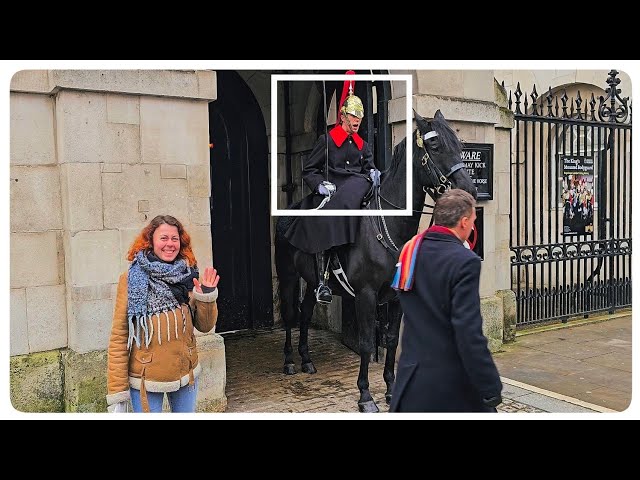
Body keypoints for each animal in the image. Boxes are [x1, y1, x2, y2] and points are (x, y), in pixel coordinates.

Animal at [272, 109, 478, 412]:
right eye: (436, 146)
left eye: (460, 146)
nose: (469, 191)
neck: (390, 223)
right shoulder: (365, 295)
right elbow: (368, 343)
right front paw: (366, 395)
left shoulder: (397, 295)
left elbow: (391, 340)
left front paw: (392, 389)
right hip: (287, 275)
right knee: (290, 314)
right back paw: (288, 361)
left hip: (311, 281)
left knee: (306, 312)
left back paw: (307, 359)